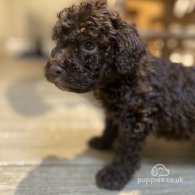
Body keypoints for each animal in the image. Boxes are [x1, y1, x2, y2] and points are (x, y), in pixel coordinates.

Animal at [45, 0, 195, 190]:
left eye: (89, 45)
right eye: (59, 41)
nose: (53, 69)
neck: (119, 81)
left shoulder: (136, 121)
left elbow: (125, 150)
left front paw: (113, 175)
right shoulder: (114, 109)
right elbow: (110, 125)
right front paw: (102, 142)